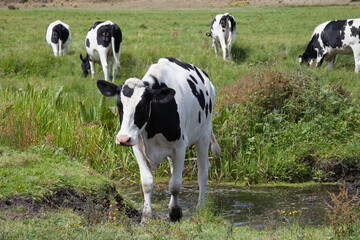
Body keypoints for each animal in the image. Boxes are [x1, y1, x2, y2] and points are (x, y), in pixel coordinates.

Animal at [95, 57, 221, 222]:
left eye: (142, 106)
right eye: (119, 106)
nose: (123, 138)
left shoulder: (180, 146)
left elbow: (175, 184)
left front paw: (175, 212)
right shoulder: (137, 147)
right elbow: (147, 182)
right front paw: (146, 215)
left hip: (203, 136)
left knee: (202, 173)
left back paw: (200, 207)